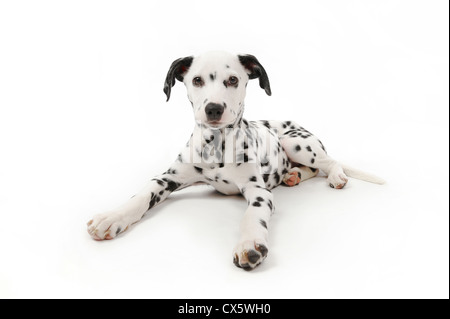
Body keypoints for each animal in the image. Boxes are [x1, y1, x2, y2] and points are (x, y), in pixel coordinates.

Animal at [87, 51, 384, 272]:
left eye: (232, 79)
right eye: (196, 80)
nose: (213, 109)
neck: (216, 146)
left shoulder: (258, 191)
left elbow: (253, 215)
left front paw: (250, 244)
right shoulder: (167, 178)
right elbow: (142, 195)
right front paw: (111, 217)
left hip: (295, 142)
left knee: (328, 161)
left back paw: (335, 176)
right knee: (310, 168)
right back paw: (293, 175)